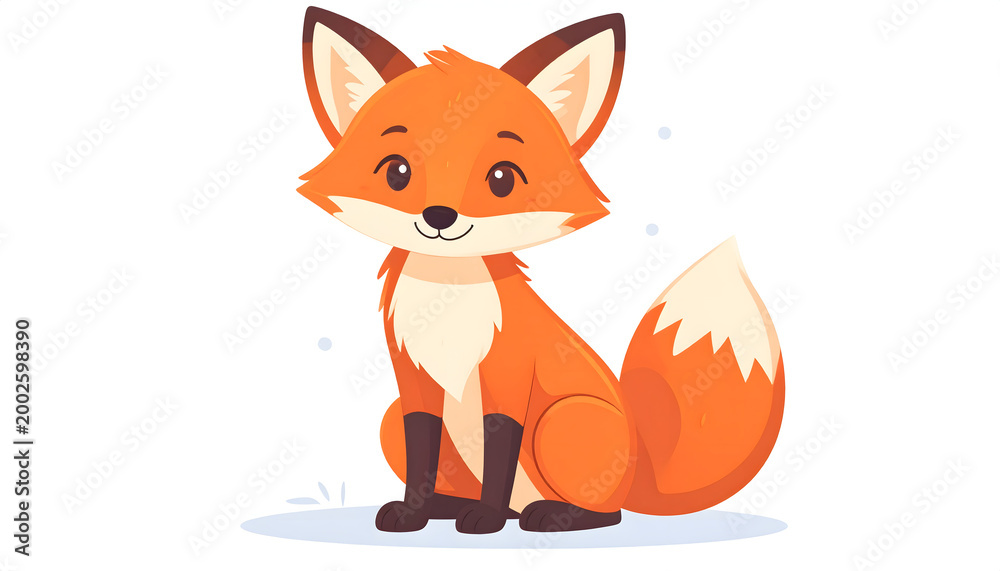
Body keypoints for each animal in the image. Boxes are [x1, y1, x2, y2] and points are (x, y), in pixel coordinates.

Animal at [297, 7, 785, 534]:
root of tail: (637, 475)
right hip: (397, 420)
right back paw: (451, 508)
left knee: (607, 513)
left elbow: (499, 458)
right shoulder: (414, 387)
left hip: (560, 420)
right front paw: (413, 513)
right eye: (397, 172)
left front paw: (485, 518)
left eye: (502, 178)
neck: (448, 302)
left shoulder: (509, 381)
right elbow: (420, 456)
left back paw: (547, 515)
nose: (439, 217)